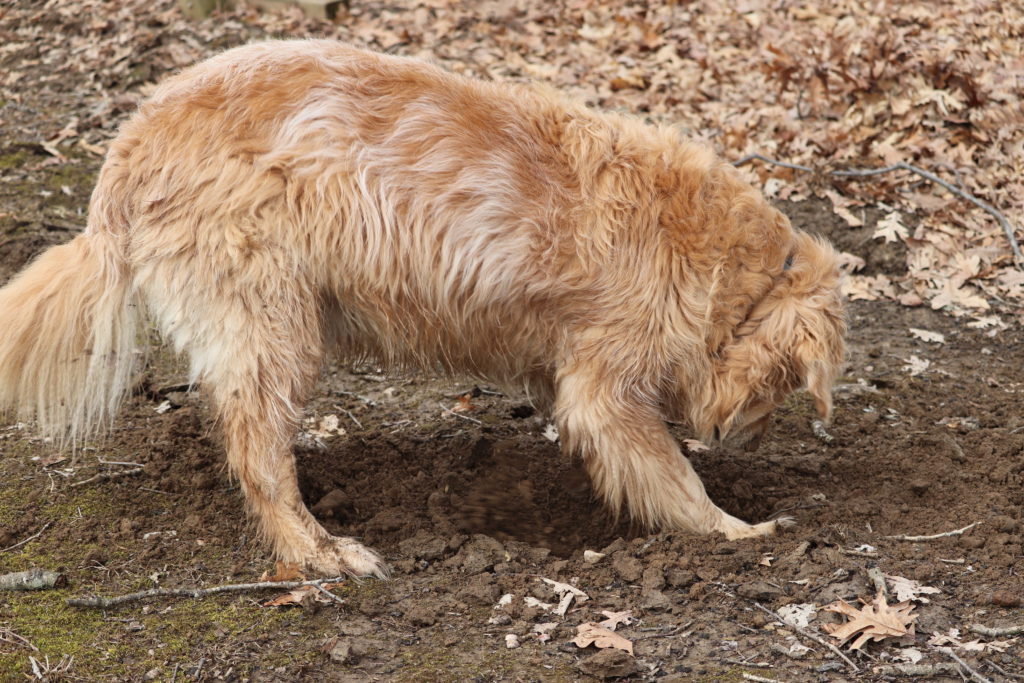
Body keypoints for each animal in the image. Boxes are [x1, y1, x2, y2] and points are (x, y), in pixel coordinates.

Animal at [0, 41, 843, 577]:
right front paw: (737, 530)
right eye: (783, 387)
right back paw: (322, 552)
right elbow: (674, 480)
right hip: (274, 325)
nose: (749, 439)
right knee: (260, 455)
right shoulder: (605, 392)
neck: (728, 269)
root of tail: (133, 139)